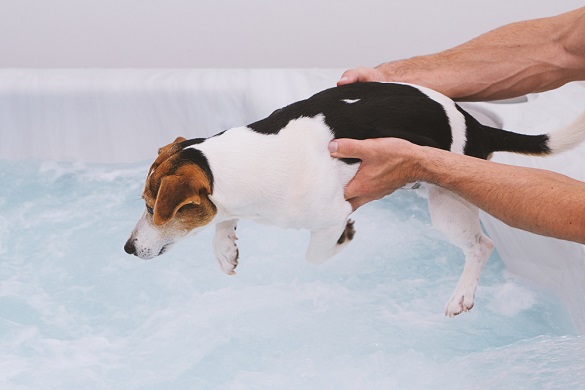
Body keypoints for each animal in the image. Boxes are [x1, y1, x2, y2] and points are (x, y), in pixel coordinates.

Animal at [124, 82, 584, 316]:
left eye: (150, 207)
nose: (127, 248)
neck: (251, 157)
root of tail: (476, 125)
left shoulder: (328, 214)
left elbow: (315, 253)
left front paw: (345, 237)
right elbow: (222, 218)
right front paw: (225, 247)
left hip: (448, 202)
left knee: (482, 245)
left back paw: (463, 294)